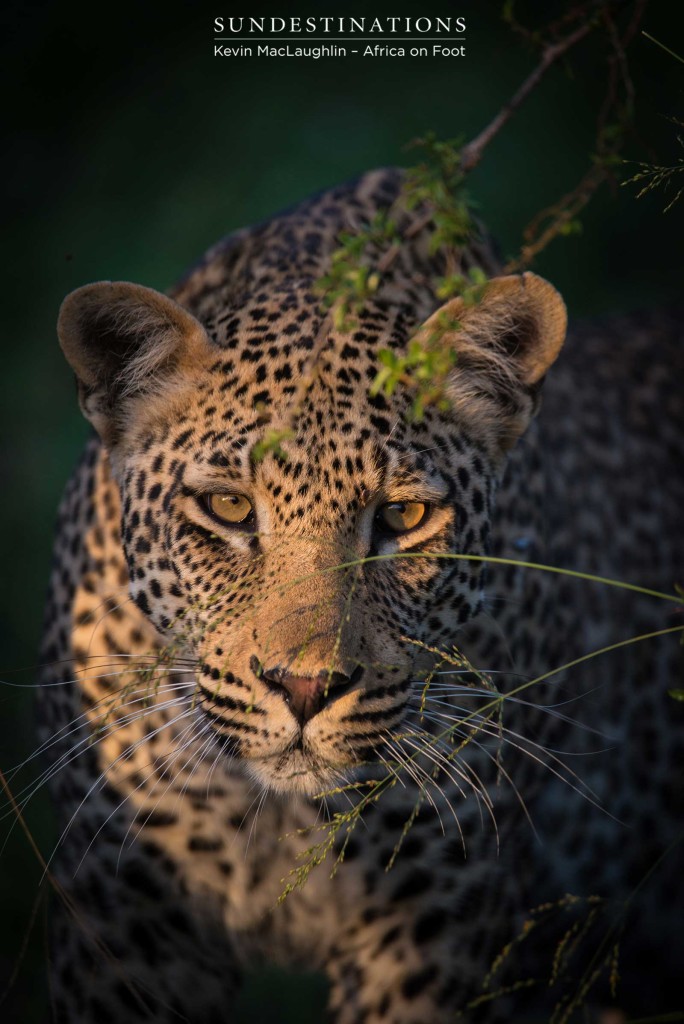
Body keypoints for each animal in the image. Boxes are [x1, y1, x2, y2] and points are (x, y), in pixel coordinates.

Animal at [34, 169, 679, 1024]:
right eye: (230, 508)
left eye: (402, 518)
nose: (306, 689)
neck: (282, 816)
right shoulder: (124, 921)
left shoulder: (432, 935)